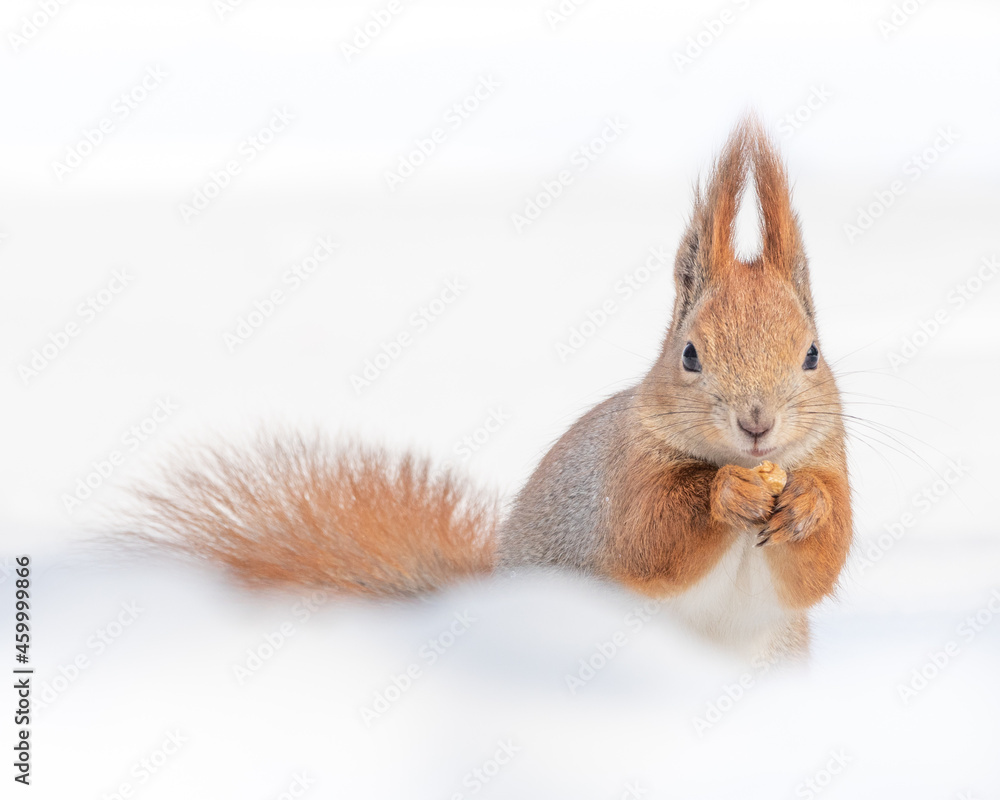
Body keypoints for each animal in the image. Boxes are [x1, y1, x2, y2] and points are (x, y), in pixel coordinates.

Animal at [119, 117, 852, 661]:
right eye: (690, 355)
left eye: (813, 354)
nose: (756, 423)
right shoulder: (620, 479)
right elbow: (649, 538)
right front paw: (727, 492)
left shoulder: (831, 462)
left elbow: (821, 560)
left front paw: (808, 504)